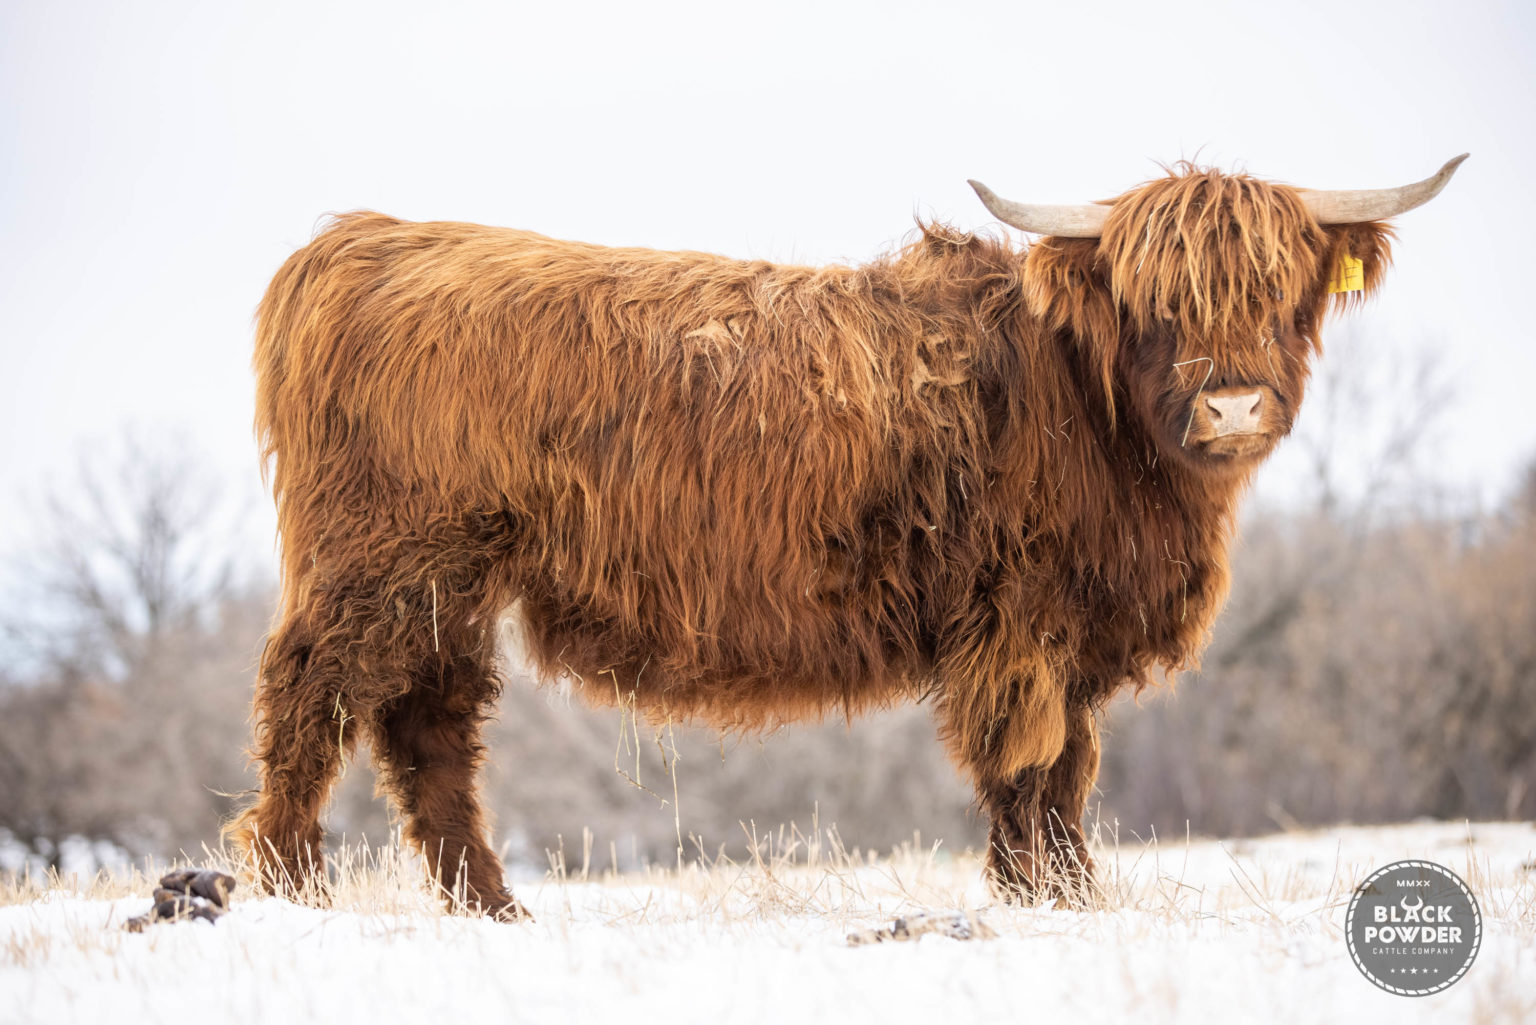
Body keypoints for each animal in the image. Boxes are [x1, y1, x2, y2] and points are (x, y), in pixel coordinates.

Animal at [232, 156, 1465, 920]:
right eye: (1155, 299)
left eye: (1285, 288)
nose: (1233, 406)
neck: (1092, 406)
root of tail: (365, 241)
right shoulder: (1022, 621)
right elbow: (1034, 764)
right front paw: (1040, 897)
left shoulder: (1066, 631)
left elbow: (1070, 766)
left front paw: (1066, 894)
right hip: (381, 563)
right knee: (313, 695)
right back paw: (292, 883)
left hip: (448, 584)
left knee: (427, 728)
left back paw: (492, 908)